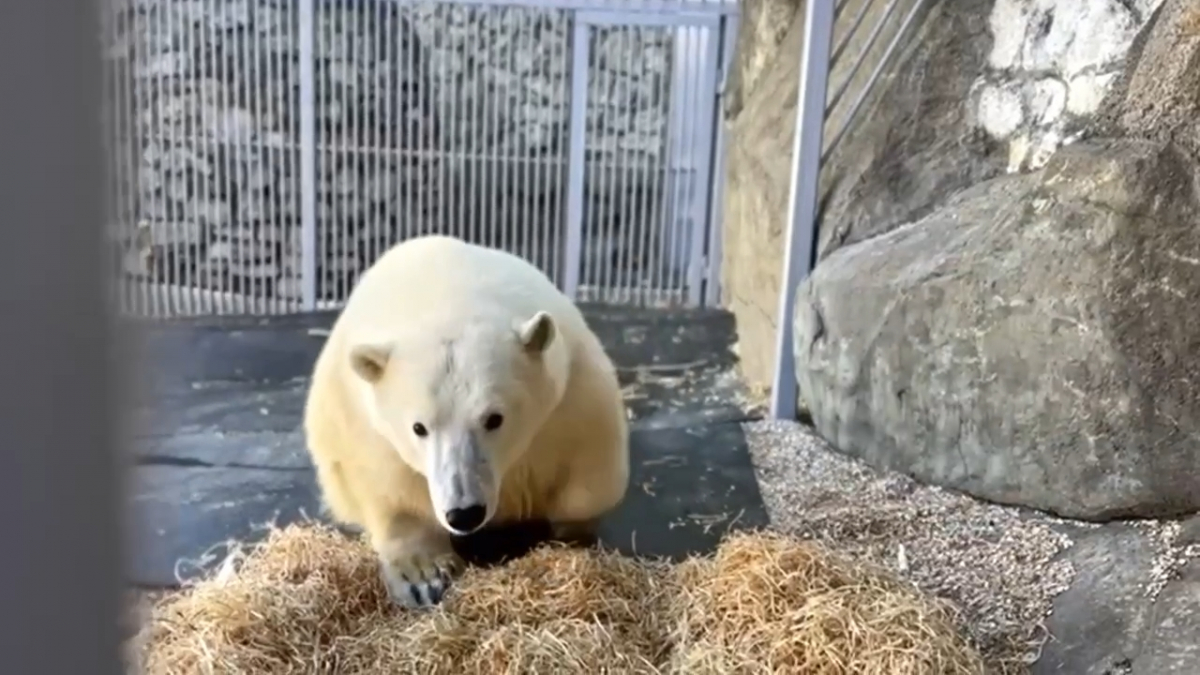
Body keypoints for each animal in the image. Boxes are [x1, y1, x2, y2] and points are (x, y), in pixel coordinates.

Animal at [304, 234, 633, 607]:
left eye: (494, 418)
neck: (448, 295)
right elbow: (392, 490)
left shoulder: (571, 395)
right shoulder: (362, 420)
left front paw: (568, 538)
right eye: (419, 427)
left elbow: (588, 471)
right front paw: (423, 577)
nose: (464, 513)